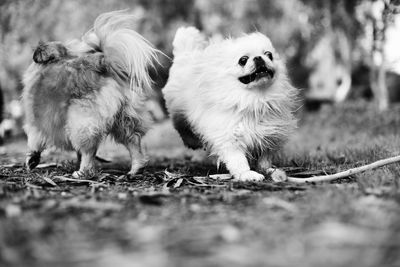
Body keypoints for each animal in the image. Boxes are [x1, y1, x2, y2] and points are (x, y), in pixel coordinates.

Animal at [21, 11, 159, 178]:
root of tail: (102, 64)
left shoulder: (36, 123)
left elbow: (34, 141)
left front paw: (32, 159)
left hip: (81, 122)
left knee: (88, 150)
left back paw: (82, 172)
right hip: (125, 119)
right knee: (133, 141)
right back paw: (136, 169)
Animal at [162, 27, 296, 182]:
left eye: (269, 55)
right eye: (243, 60)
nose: (258, 57)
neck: (256, 97)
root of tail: (186, 55)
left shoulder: (269, 134)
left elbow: (265, 157)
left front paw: (267, 169)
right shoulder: (230, 138)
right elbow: (238, 160)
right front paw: (247, 174)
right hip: (178, 112)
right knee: (183, 128)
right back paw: (193, 141)